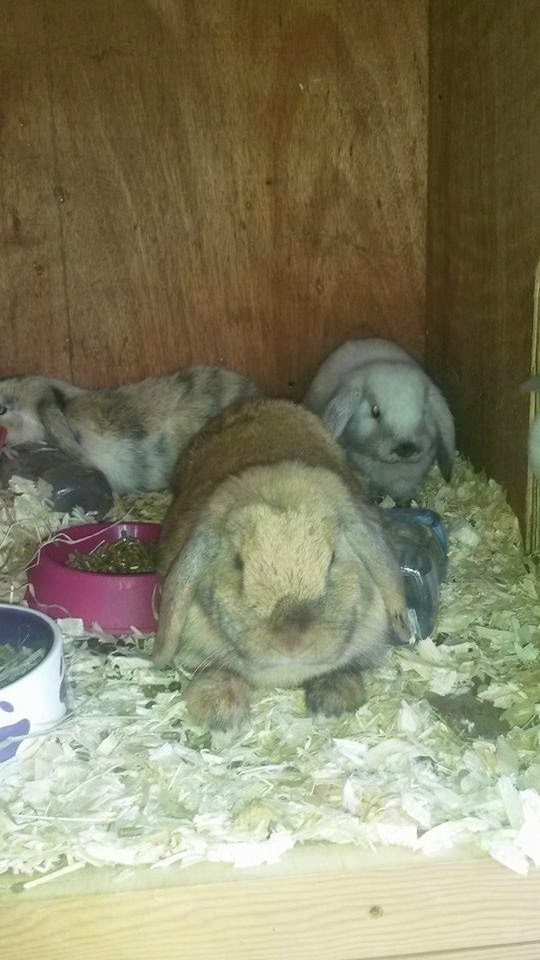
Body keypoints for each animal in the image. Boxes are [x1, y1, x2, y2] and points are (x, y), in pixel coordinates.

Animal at [153, 398, 411, 730]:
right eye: (238, 563)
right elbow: (219, 670)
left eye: (332, 559)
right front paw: (219, 709)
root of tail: (261, 403)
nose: (292, 641)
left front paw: (333, 700)